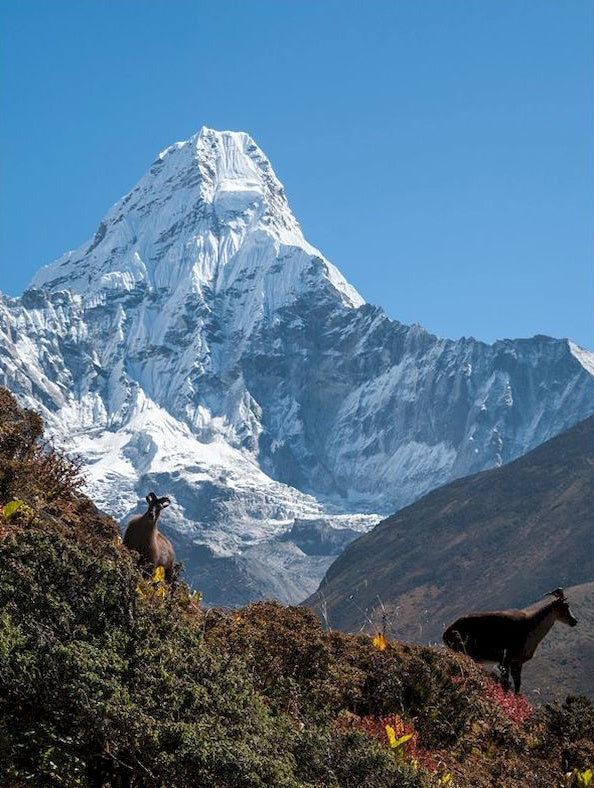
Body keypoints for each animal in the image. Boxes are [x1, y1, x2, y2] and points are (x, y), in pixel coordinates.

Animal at [442, 588, 576, 692]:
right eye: (564, 606)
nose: (574, 621)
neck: (530, 629)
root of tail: (446, 633)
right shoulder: (506, 659)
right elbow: (506, 682)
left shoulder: (517, 662)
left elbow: (518, 685)